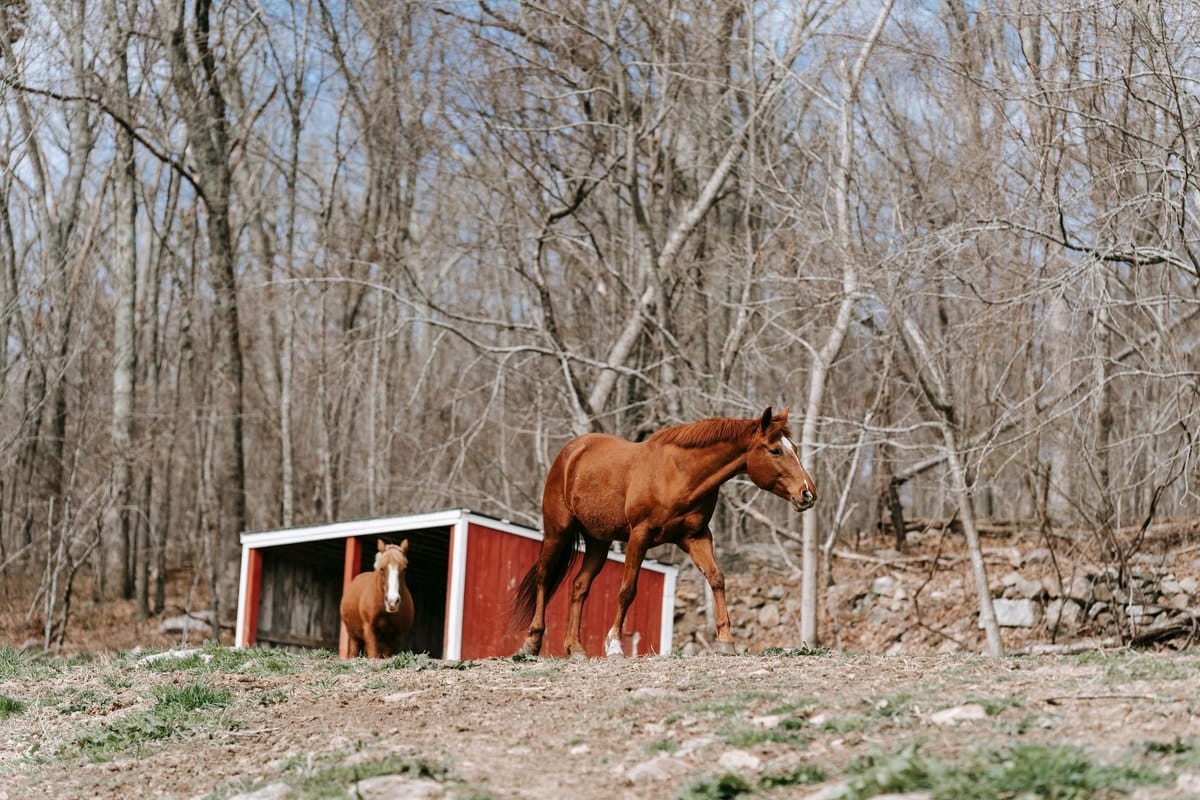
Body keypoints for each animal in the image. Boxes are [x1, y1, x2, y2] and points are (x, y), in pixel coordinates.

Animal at [512, 406, 816, 659]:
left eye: (794, 448)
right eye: (775, 450)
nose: (808, 493)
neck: (679, 475)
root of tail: (571, 451)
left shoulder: (696, 537)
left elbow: (717, 578)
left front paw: (726, 641)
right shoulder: (639, 536)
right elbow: (627, 590)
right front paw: (615, 645)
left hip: (598, 541)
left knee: (579, 587)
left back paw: (575, 648)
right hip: (557, 531)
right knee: (544, 577)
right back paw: (531, 644)